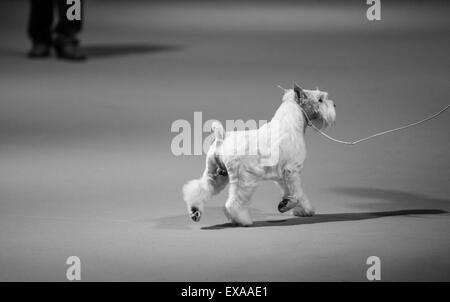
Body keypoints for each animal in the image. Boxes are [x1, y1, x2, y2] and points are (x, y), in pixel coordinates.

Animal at [182, 84, 334, 225]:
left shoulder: (282, 177)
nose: (334, 104)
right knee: (232, 204)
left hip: (215, 175)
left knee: (200, 189)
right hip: (245, 181)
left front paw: (300, 209)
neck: (290, 124)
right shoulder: (292, 171)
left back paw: (195, 210)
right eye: (320, 99)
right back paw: (242, 220)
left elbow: (293, 193)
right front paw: (289, 204)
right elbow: (297, 194)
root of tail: (222, 138)